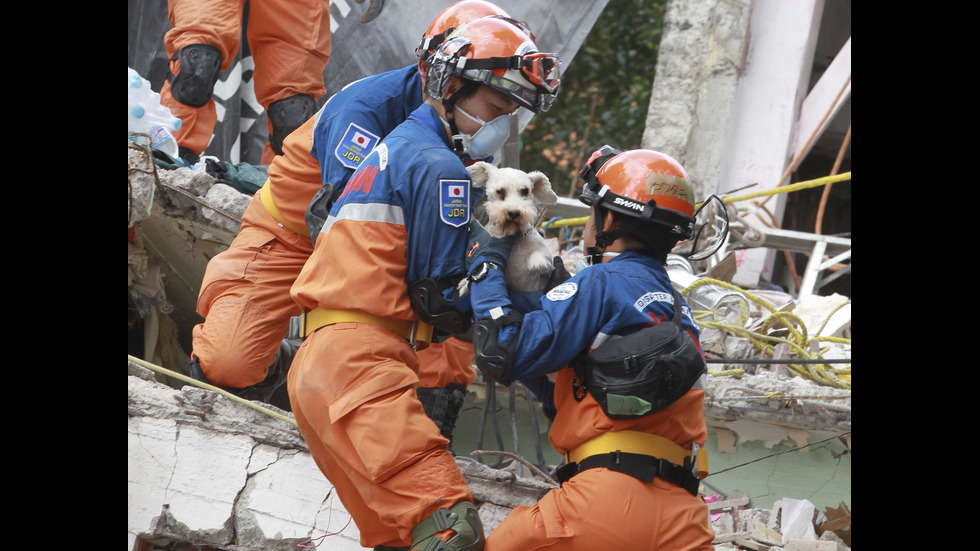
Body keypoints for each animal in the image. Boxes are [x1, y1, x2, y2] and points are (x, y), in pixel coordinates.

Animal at [464, 161, 556, 294]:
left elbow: (541, 256)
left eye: (525, 190)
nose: (514, 213)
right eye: (500, 191)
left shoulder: (546, 254)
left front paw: (537, 263)